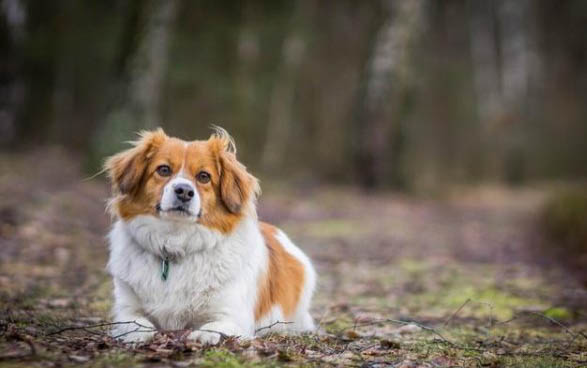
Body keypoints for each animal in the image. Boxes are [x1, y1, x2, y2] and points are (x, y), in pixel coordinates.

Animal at [104, 128, 316, 344]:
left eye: (204, 176)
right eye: (163, 170)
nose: (184, 191)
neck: (176, 243)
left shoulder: (233, 316)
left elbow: (213, 326)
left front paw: (202, 335)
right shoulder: (126, 310)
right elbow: (135, 323)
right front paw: (141, 334)